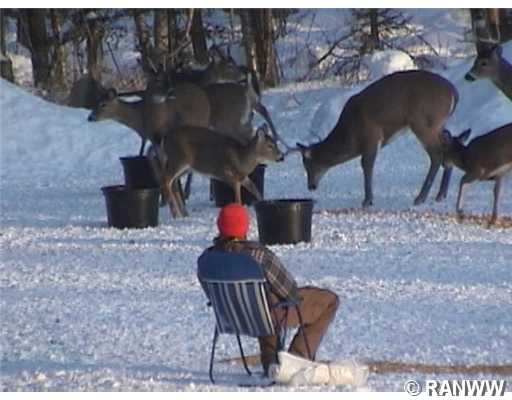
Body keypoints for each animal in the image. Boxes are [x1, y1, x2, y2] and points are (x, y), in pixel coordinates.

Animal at [293, 70, 459, 208]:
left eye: (308, 164)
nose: (311, 186)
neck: (351, 134)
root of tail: (453, 92)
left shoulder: (371, 136)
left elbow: (366, 165)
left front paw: (367, 200)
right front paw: (368, 199)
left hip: (423, 122)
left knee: (436, 154)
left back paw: (420, 198)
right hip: (438, 124)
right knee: (448, 141)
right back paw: (440, 195)